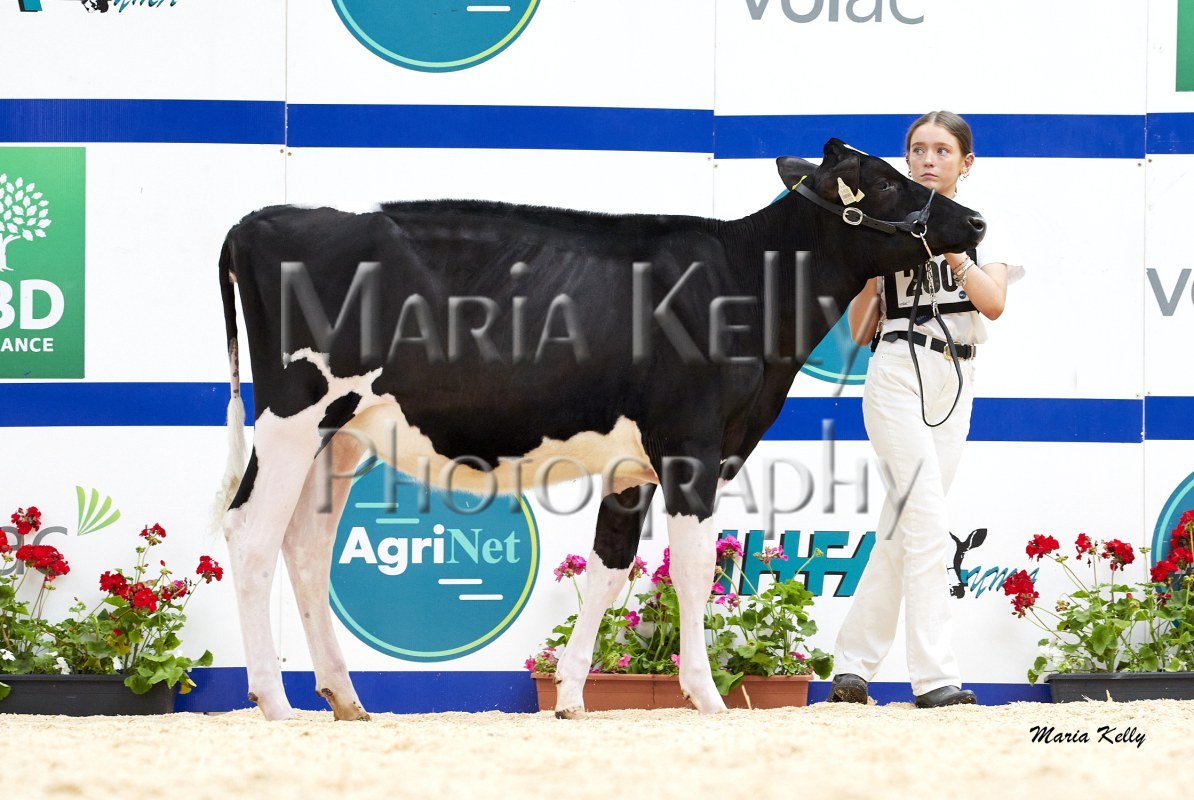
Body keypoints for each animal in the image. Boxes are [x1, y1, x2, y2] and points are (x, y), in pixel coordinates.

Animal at [217, 139, 985, 721]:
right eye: (883, 181)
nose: (975, 220)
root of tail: (258, 218)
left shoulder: (633, 467)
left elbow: (609, 572)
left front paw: (571, 699)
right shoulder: (690, 450)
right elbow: (694, 573)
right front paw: (708, 698)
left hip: (341, 437)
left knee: (305, 549)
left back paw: (345, 701)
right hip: (293, 414)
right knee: (249, 533)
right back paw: (274, 703)